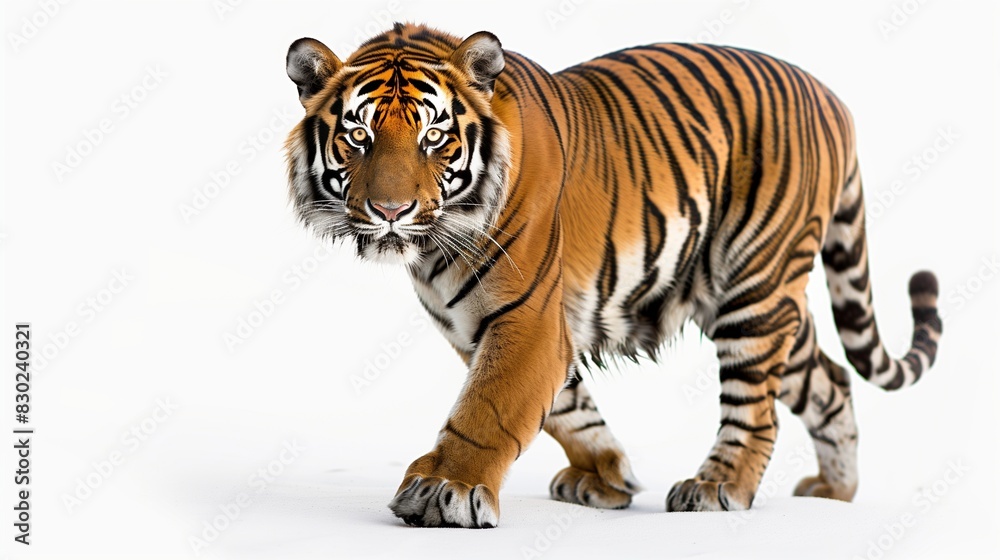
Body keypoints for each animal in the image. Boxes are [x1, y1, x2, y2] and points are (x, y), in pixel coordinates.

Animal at [283, 23, 942, 528]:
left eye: (435, 137)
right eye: (358, 135)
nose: (390, 211)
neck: (434, 248)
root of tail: (832, 98)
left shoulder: (527, 317)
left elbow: (487, 408)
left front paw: (447, 490)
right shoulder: (480, 323)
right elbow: (565, 407)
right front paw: (607, 474)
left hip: (756, 287)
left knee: (757, 408)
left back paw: (717, 487)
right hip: (757, 297)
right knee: (829, 379)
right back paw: (834, 494)